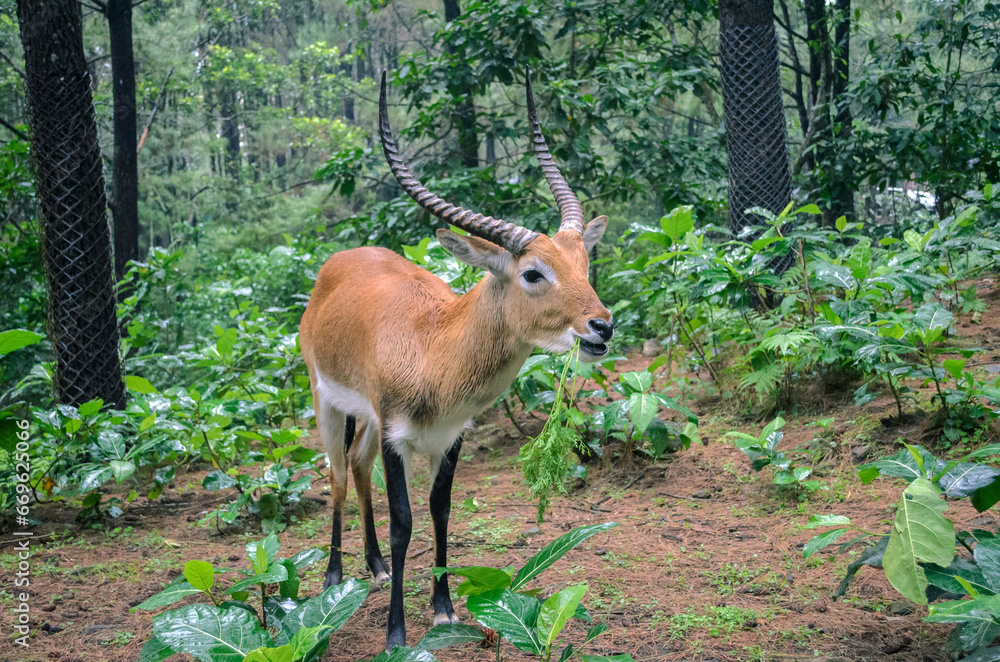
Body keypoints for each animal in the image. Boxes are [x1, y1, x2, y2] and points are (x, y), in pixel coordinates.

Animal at [299, 70, 614, 651]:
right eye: (533, 272)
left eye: (583, 263)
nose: (601, 327)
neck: (434, 348)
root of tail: (339, 262)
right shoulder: (398, 437)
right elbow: (404, 522)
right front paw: (396, 634)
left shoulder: (451, 437)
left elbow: (440, 511)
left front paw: (444, 610)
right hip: (324, 400)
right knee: (335, 471)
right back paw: (333, 576)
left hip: (367, 420)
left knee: (356, 462)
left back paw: (375, 567)